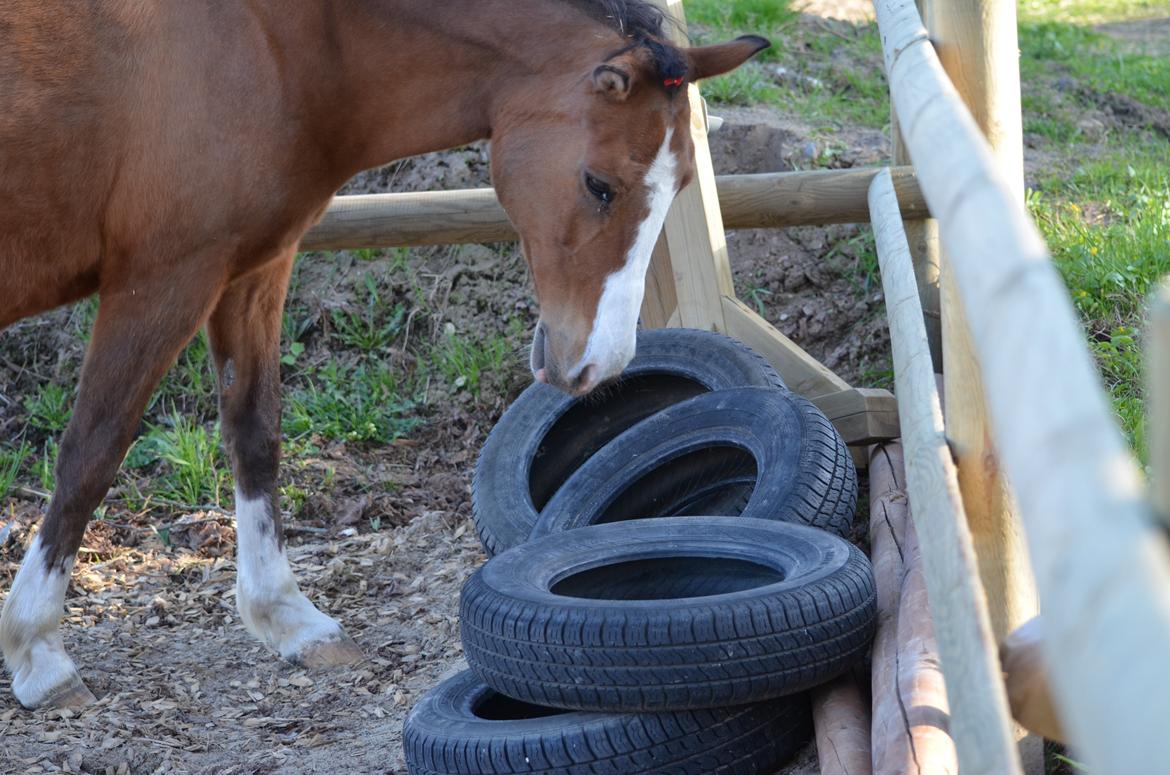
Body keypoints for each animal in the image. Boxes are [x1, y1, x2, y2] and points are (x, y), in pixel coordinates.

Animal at [0, 0, 767, 711]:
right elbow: (92, 452)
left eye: (681, 187)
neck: (268, 40)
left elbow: (255, 433)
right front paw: (38, 649)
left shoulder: (252, 269)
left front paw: (288, 618)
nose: (600, 364)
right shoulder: (163, 279)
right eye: (599, 184)